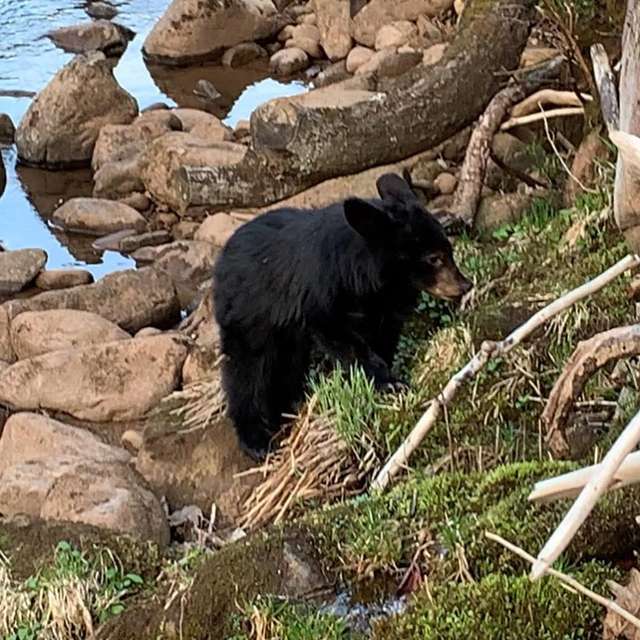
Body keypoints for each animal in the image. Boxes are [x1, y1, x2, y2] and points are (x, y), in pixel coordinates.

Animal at [213, 172, 472, 459]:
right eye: (433, 258)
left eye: (448, 250)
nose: (465, 285)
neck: (371, 279)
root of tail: (222, 258)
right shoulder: (323, 295)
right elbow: (345, 339)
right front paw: (390, 382)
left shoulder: (383, 308)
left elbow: (384, 338)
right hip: (251, 316)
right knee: (247, 371)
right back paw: (256, 439)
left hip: (285, 334)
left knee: (286, 367)